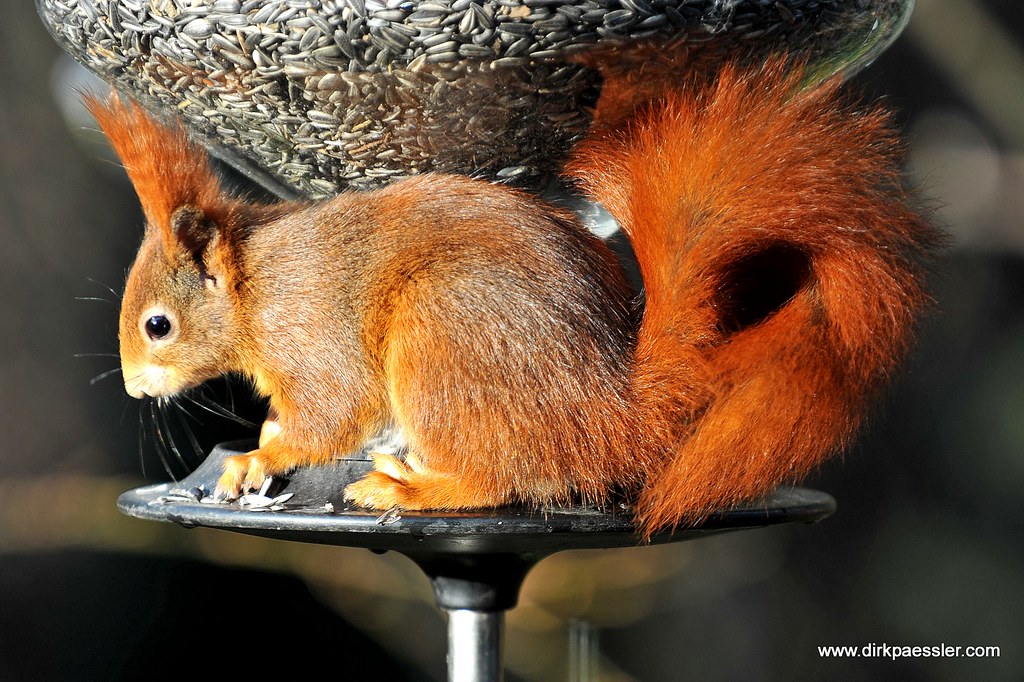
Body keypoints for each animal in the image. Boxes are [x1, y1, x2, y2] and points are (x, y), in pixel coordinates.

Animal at [85, 57, 938, 537]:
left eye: (157, 325)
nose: (131, 387)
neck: (255, 289)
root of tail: (608, 408)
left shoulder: (312, 335)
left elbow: (332, 414)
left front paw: (257, 457)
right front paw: (259, 443)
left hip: (441, 337)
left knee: (496, 480)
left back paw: (408, 486)